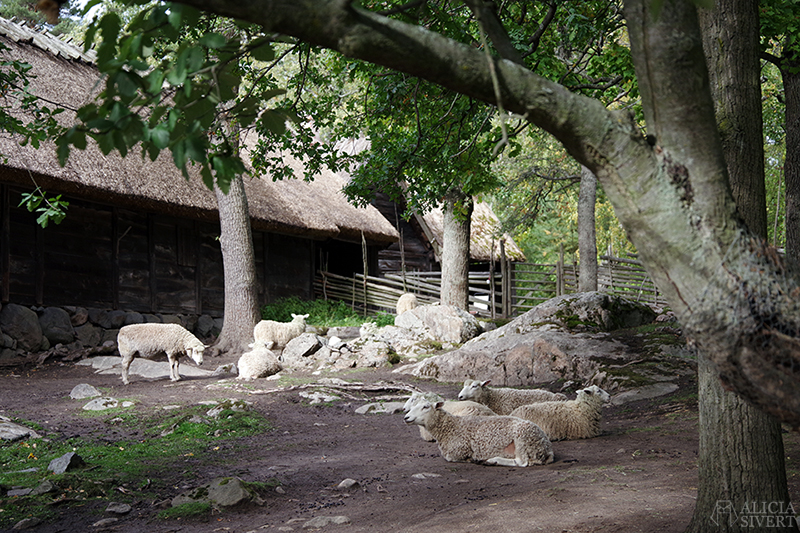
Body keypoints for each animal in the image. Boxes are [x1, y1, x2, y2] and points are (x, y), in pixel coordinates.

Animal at [404, 400, 552, 466]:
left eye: (425, 407)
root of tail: (547, 448)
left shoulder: (459, 449)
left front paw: (471, 458)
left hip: (523, 438)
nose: (406, 417)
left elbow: (452, 458)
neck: (451, 427)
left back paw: (493, 460)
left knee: (522, 462)